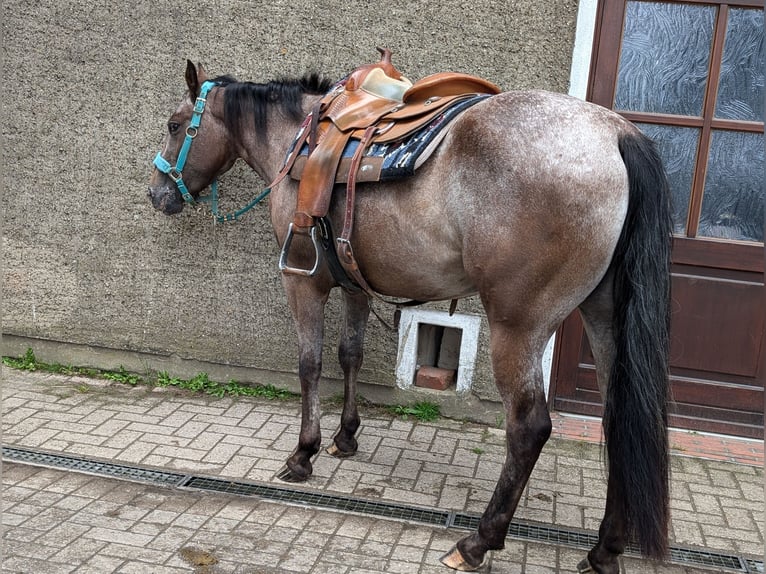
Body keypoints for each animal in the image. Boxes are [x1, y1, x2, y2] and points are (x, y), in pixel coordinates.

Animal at [148, 55, 672, 574]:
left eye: (174, 125)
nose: (156, 194)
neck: (299, 139)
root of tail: (617, 133)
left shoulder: (303, 281)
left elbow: (310, 364)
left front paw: (303, 454)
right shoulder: (354, 284)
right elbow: (351, 354)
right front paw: (346, 437)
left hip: (518, 327)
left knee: (530, 428)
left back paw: (477, 543)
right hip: (603, 319)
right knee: (619, 421)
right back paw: (604, 550)